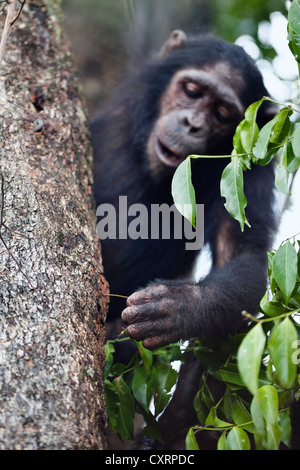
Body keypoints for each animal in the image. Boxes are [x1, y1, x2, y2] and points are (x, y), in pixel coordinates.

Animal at [91, 31, 276, 450]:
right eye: (191, 91)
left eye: (222, 114)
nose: (192, 123)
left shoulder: (248, 170)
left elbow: (244, 255)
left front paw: (183, 307)